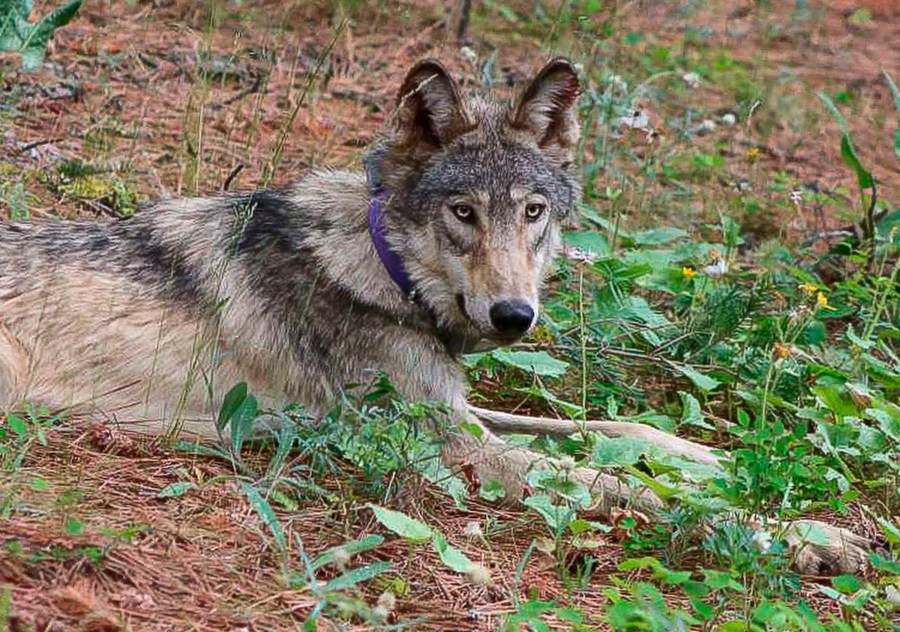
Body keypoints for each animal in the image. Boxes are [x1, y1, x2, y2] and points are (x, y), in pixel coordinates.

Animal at [0, 59, 867, 574]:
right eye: (463, 213)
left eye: (532, 212)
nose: (514, 315)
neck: (384, 271)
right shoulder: (453, 447)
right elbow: (620, 484)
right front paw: (798, 536)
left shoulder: (459, 410)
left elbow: (617, 431)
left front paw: (714, 458)